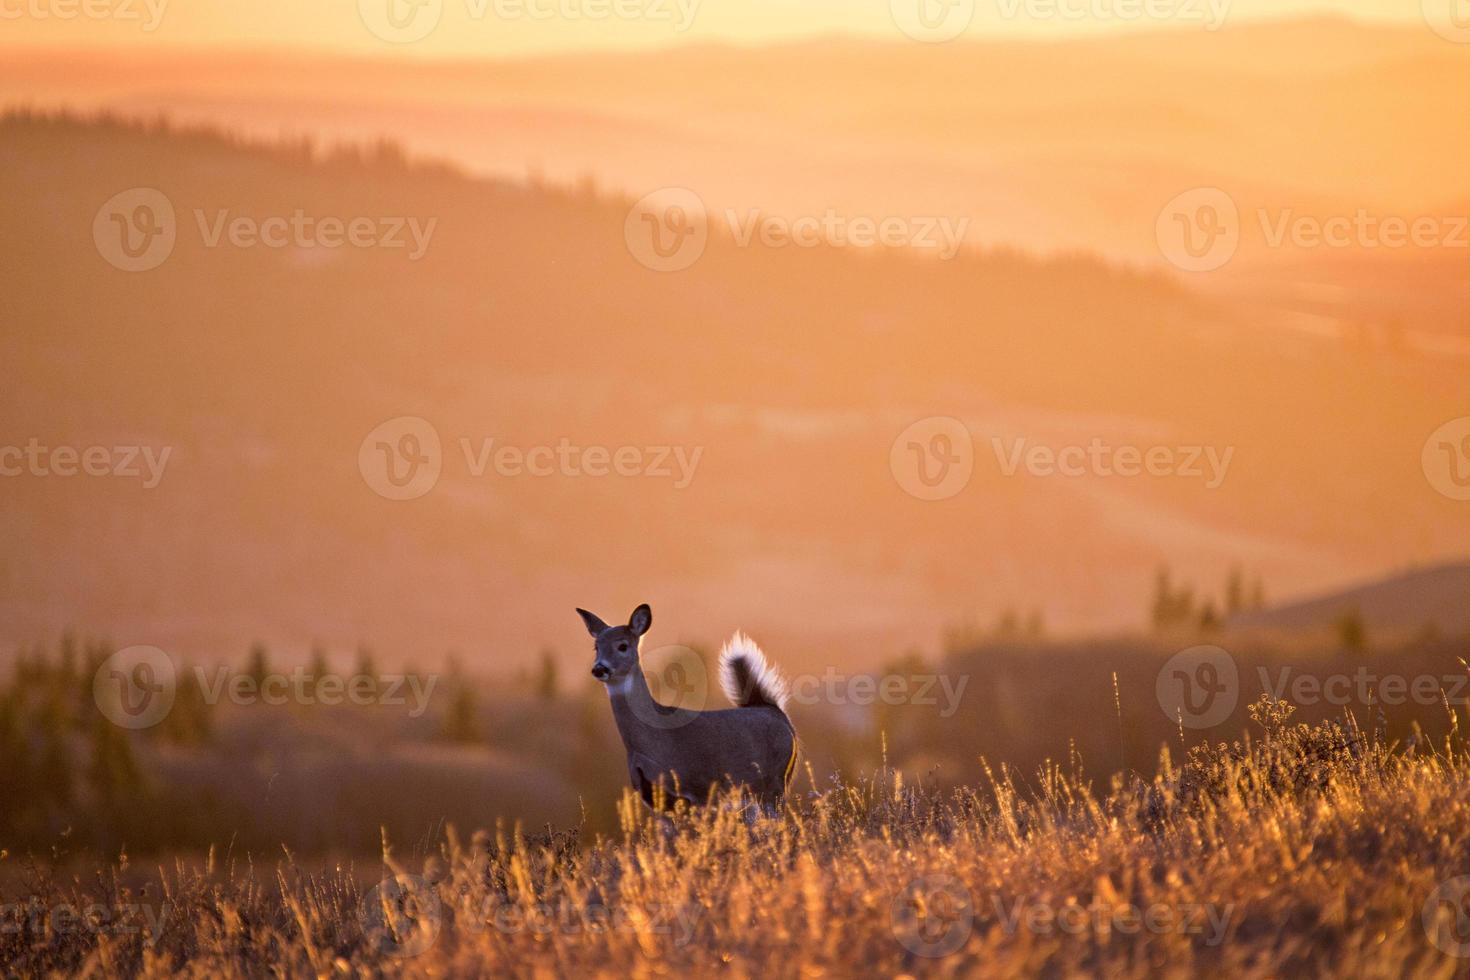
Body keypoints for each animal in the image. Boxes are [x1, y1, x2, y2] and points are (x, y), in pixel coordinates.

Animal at [576, 602, 805, 816]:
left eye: (623, 646)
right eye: (596, 647)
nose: (599, 668)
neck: (653, 738)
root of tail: (775, 711)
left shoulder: (695, 791)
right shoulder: (656, 801)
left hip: (775, 784)